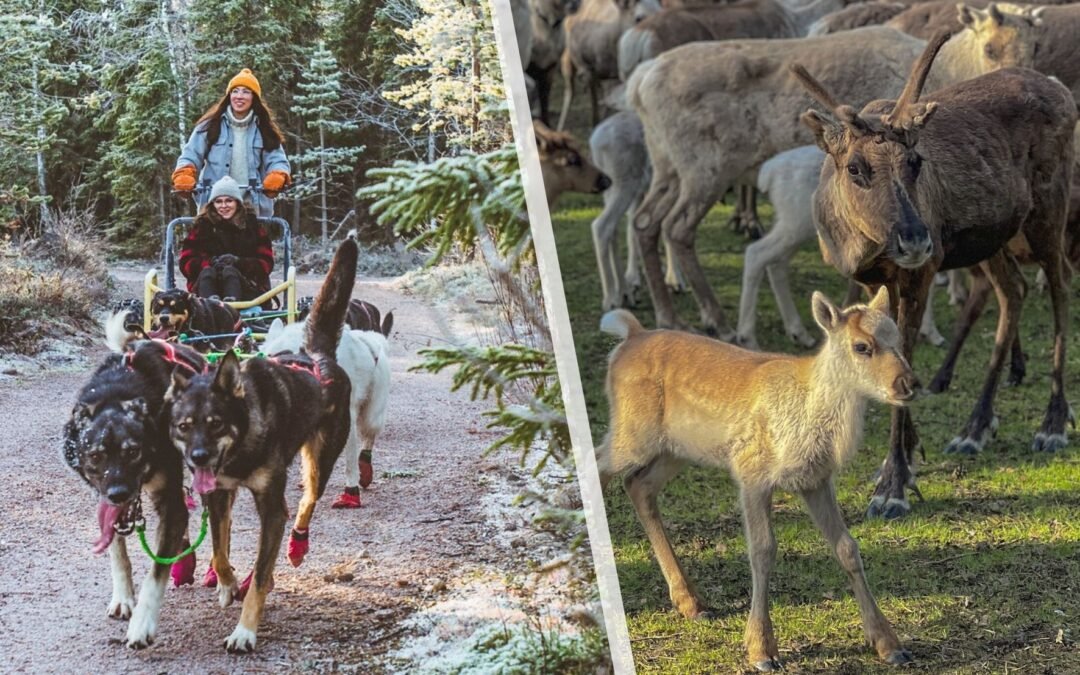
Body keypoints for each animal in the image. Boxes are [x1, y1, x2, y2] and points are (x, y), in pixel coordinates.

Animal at [63, 315, 206, 648]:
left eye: (133, 451)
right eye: (96, 455)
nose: (118, 493)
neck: (115, 396)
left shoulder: (168, 498)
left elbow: (156, 572)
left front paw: (142, 623)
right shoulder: (103, 499)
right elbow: (118, 551)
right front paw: (124, 598)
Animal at [165, 238, 358, 652]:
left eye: (216, 423)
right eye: (184, 426)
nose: (197, 458)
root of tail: (316, 357)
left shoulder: (270, 508)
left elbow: (259, 573)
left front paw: (245, 630)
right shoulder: (218, 495)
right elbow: (220, 550)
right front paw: (227, 584)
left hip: (319, 461)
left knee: (305, 502)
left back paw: (298, 544)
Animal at [264, 315, 390, 505]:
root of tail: (371, 339)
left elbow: (350, 460)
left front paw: (351, 493)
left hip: (371, 416)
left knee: (368, 438)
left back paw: (365, 468)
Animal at [596, 287, 915, 669]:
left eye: (898, 338)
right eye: (862, 346)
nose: (908, 383)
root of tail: (629, 335)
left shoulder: (816, 479)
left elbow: (847, 548)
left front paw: (889, 644)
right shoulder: (752, 471)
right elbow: (762, 549)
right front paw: (762, 650)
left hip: (674, 449)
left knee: (638, 485)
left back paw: (692, 603)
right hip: (632, 434)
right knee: (595, 463)